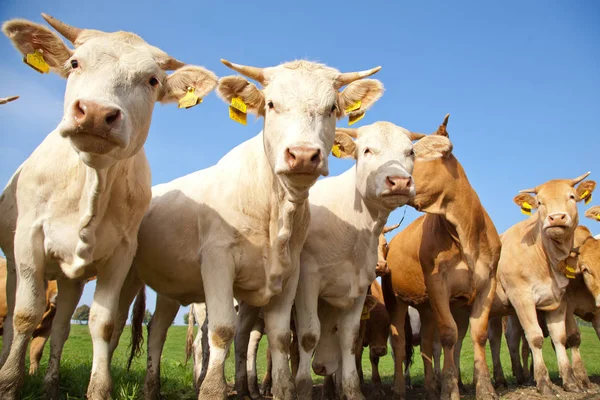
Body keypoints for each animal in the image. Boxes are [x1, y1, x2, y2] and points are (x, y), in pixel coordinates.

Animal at [0, 14, 218, 398]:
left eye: (152, 80)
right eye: (74, 64)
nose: (97, 113)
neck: (91, 181)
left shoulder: (120, 255)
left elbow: (103, 323)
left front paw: (99, 388)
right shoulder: (27, 239)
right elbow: (25, 314)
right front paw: (9, 384)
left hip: (76, 279)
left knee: (62, 327)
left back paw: (51, 385)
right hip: (15, 262)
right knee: (16, 315)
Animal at [122, 58, 384, 400]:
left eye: (332, 108)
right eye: (271, 104)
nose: (303, 155)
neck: (274, 210)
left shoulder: (291, 274)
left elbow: (280, 337)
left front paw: (282, 390)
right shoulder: (218, 261)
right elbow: (222, 330)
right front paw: (212, 390)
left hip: (170, 285)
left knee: (157, 329)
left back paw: (151, 389)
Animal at [292, 122, 452, 400]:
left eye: (411, 152)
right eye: (366, 150)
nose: (399, 181)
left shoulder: (358, 288)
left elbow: (350, 338)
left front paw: (352, 390)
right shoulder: (307, 281)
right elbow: (309, 335)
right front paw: (302, 390)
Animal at [382, 115, 500, 400]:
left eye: (411, 152)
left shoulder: (486, 284)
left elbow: (476, 335)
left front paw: (484, 388)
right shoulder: (437, 284)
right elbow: (448, 335)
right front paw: (450, 389)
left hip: (424, 305)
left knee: (425, 343)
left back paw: (429, 386)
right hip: (395, 299)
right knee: (399, 342)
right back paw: (400, 388)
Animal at [488, 173, 596, 396]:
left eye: (571, 196)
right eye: (539, 203)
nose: (556, 218)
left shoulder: (558, 301)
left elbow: (560, 338)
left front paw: (570, 382)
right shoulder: (521, 297)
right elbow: (535, 337)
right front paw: (544, 383)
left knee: (499, 339)